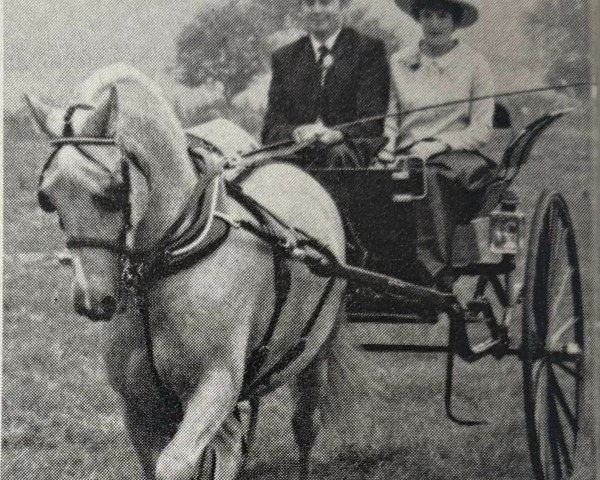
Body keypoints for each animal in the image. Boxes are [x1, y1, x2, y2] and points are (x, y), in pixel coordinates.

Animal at [27, 64, 352, 480]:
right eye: (48, 199)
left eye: (112, 191)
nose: (92, 300)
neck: (166, 270)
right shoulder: (140, 407)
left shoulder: (215, 386)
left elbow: (177, 464)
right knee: (233, 442)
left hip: (315, 356)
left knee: (303, 427)